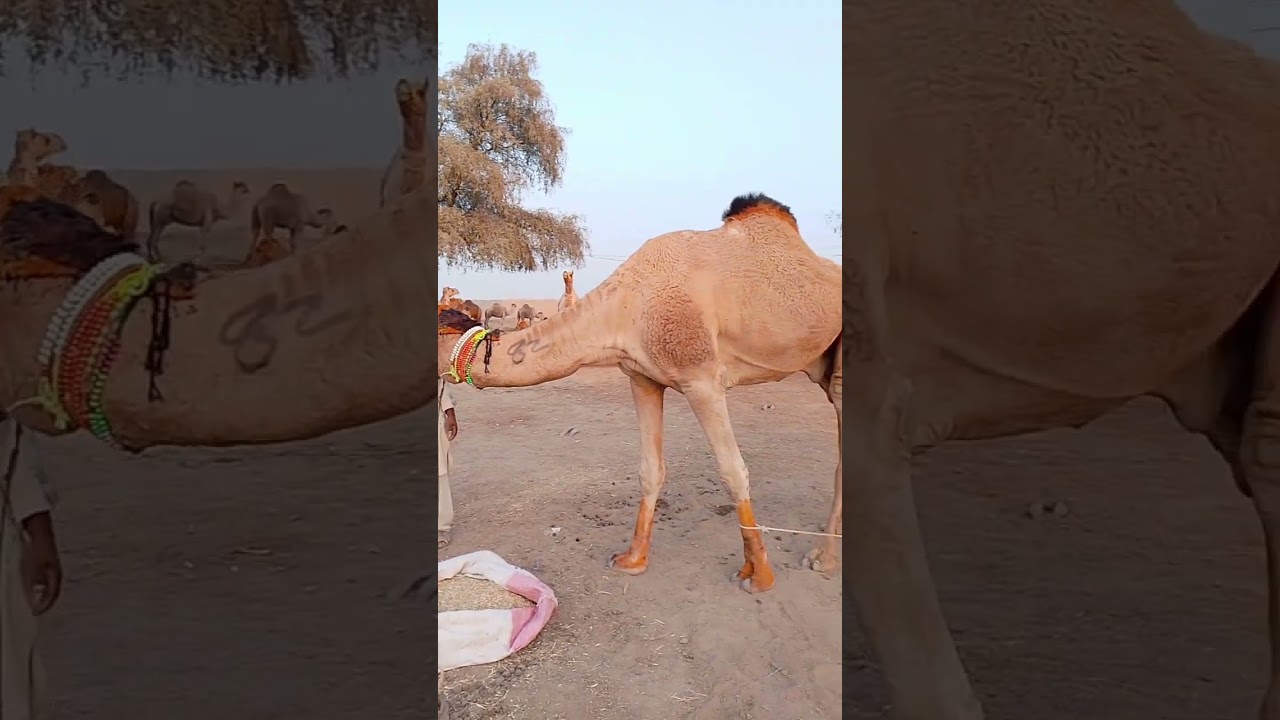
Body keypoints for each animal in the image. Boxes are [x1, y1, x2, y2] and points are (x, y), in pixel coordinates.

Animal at [438, 193, 841, 593]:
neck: (627, 304)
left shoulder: (702, 378)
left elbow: (732, 470)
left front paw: (759, 575)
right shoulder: (642, 378)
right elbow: (650, 469)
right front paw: (632, 560)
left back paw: (822, 559)